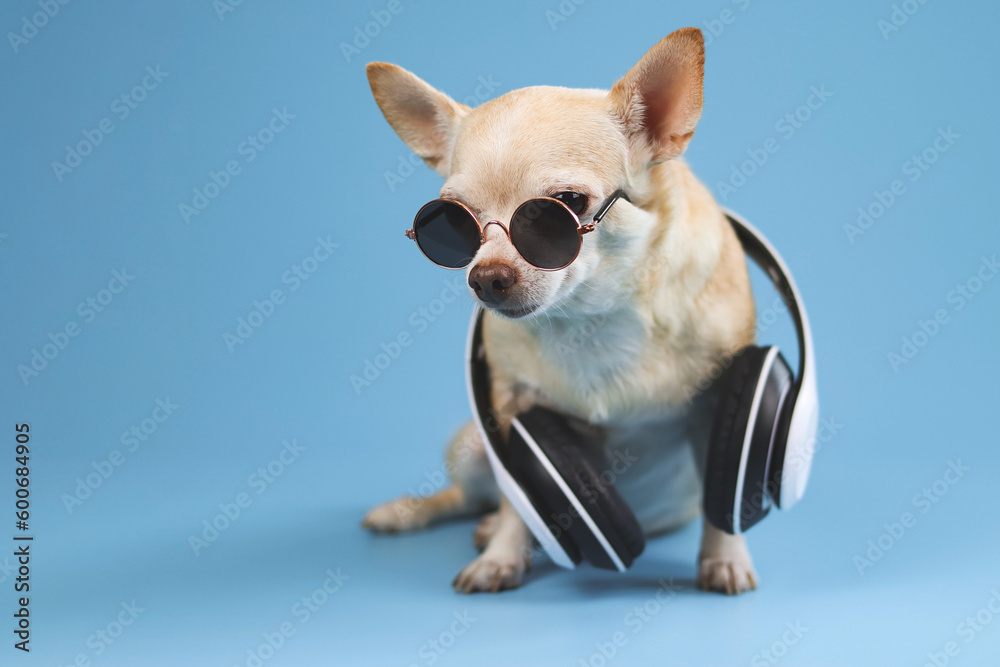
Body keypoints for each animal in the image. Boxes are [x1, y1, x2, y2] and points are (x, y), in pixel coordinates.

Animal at [364, 28, 760, 596]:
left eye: (565, 205)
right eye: (452, 221)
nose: (485, 277)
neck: (592, 315)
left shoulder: (716, 404)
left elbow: (723, 492)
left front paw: (724, 558)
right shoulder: (511, 414)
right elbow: (518, 499)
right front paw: (503, 556)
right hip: (469, 444)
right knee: (470, 498)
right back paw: (420, 514)